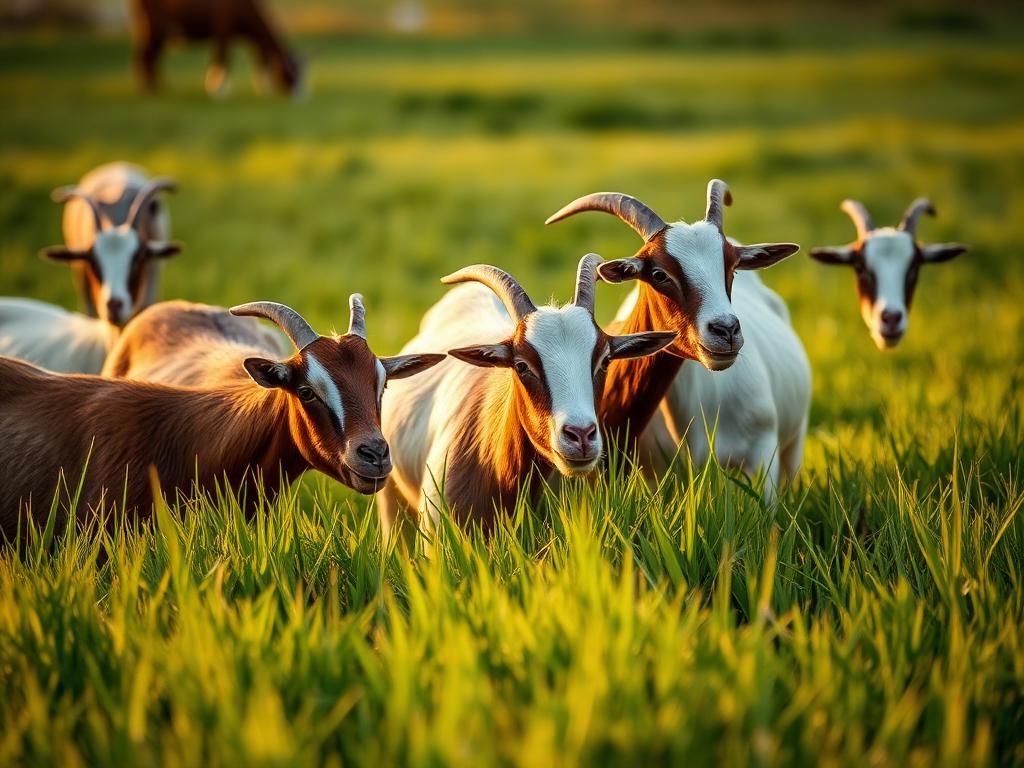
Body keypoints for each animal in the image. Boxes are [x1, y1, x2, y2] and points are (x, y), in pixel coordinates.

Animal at [130, 0, 305, 97]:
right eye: (291, 72)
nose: (300, 98)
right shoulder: (223, 29)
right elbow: (222, 58)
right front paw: (219, 92)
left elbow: (259, 60)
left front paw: (265, 90)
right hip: (155, 28)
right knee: (146, 57)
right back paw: (152, 91)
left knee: (148, 58)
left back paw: (158, 89)